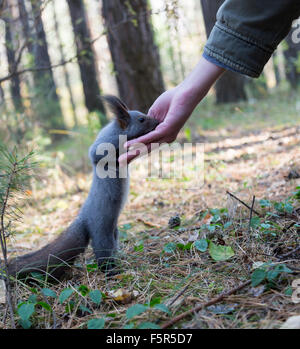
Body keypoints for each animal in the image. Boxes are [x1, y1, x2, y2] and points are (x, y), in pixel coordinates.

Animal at [5, 95, 159, 280]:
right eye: (141, 119)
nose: (157, 121)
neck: (118, 133)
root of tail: (83, 218)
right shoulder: (102, 147)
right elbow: (100, 156)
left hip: (113, 232)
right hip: (101, 234)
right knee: (103, 258)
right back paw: (113, 272)